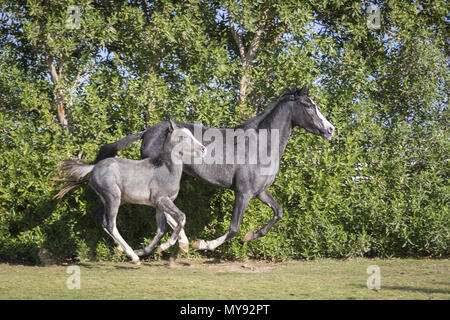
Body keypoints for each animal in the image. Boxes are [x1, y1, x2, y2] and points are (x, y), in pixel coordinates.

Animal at [91, 85, 336, 255]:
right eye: (308, 105)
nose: (330, 129)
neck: (261, 146)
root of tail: (148, 131)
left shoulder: (260, 192)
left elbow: (278, 212)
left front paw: (251, 236)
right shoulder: (243, 193)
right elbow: (234, 228)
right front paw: (204, 244)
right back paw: (176, 244)